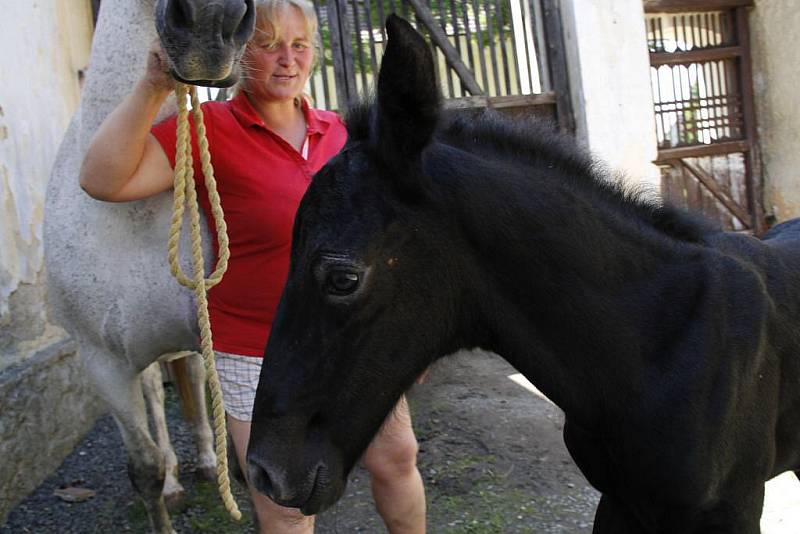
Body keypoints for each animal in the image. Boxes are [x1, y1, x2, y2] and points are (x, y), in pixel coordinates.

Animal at [42, 2, 255, 532]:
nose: (211, 22)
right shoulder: (103, 363)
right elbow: (145, 467)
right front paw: (165, 488)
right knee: (158, 400)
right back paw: (179, 481)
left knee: (191, 383)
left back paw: (205, 461)